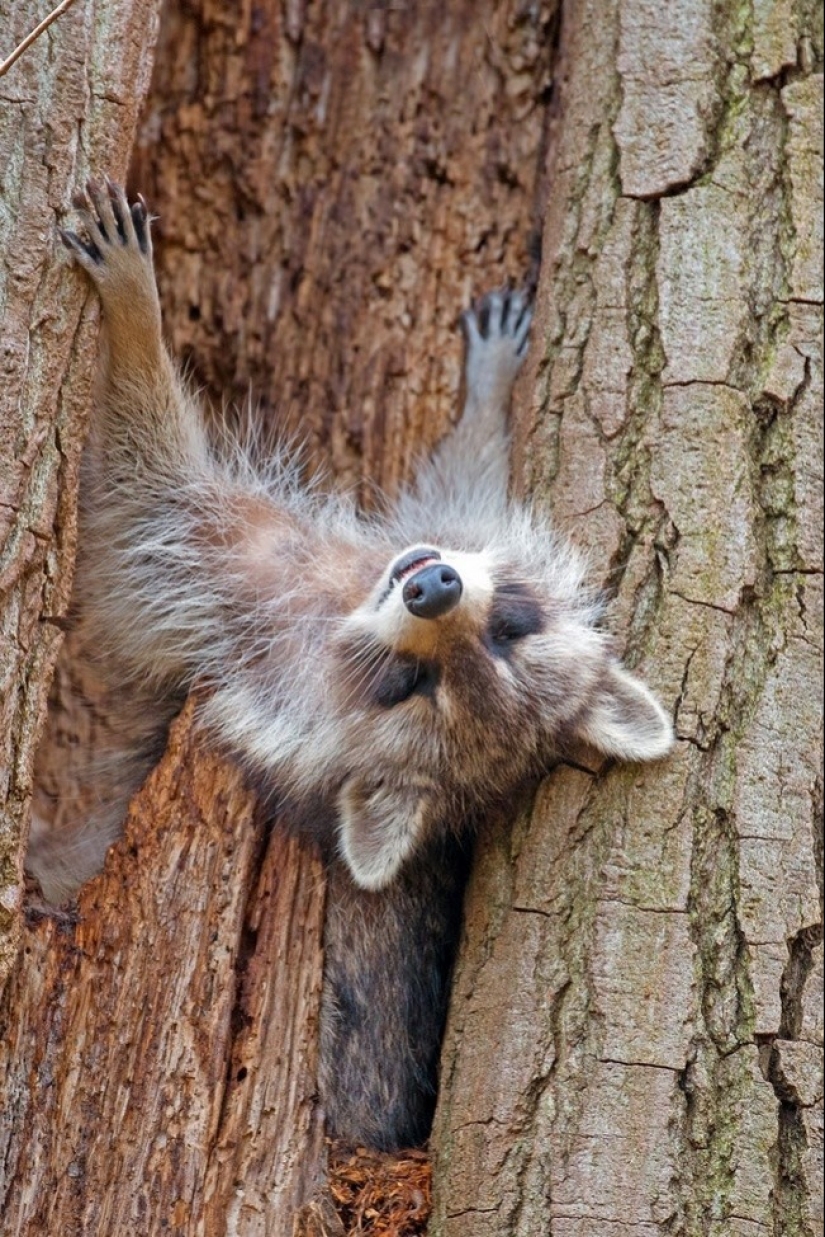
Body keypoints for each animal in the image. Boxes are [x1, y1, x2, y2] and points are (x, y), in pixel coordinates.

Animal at [30, 180, 677, 1147]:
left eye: (413, 685)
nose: (435, 587)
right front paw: (487, 397)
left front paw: (135, 314)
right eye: (509, 628)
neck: (349, 602)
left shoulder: (230, 590)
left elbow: (148, 481)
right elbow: (462, 481)